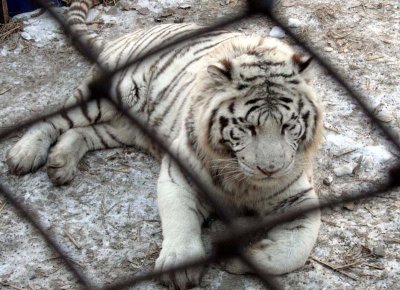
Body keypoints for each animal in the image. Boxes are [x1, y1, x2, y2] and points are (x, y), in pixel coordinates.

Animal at [6, 1, 324, 288]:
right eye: (247, 127)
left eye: (288, 125)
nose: (271, 170)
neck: (245, 184)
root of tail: (128, 35)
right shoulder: (179, 175)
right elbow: (180, 219)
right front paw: (180, 266)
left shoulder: (300, 197)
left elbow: (293, 251)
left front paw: (238, 257)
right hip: (108, 95)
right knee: (55, 118)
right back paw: (24, 154)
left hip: (125, 128)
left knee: (84, 133)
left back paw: (60, 163)